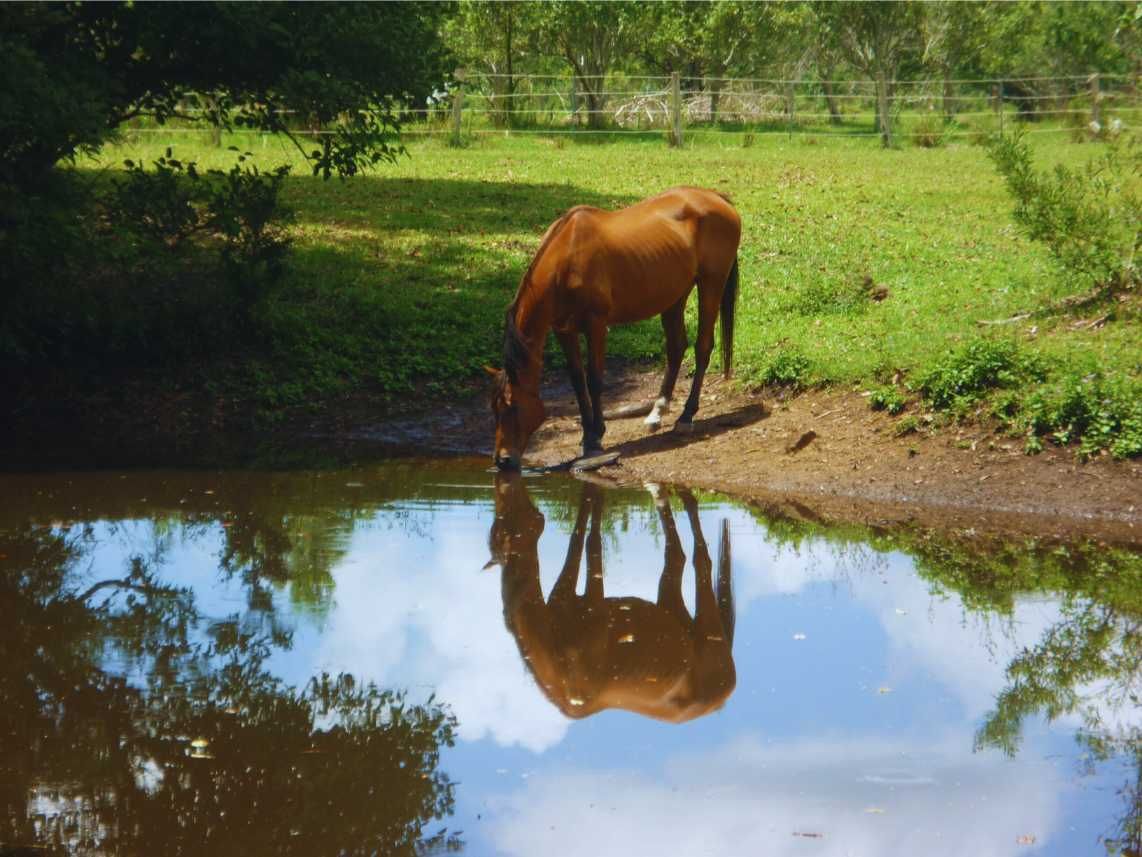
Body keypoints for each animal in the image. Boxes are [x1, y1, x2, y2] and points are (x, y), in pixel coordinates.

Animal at [487, 186, 742, 470]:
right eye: (494, 409)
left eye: (512, 406)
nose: (502, 460)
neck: (566, 259)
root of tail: (717, 198)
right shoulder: (564, 330)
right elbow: (577, 381)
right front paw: (587, 435)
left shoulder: (596, 324)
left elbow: (595, 379)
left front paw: (596, 436)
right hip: (674, 294)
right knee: (676, 347)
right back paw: (657, 412)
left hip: (711, 283)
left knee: (702, 347)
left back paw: (686, 416)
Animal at [488, 473, 736, 723]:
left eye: (506, 526)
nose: (507, 477)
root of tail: (725, 692)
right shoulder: (565, 594)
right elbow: (585, 531)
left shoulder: (592, 602)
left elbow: (587, 544)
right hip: (672, 608)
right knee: (676, 554)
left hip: (707, 626)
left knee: (701, 560)